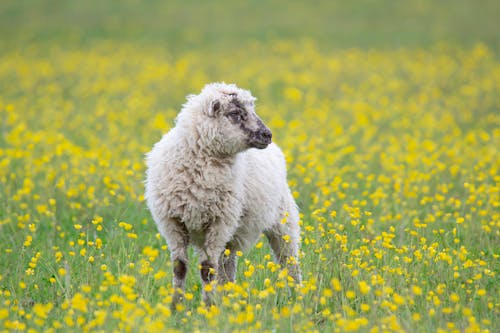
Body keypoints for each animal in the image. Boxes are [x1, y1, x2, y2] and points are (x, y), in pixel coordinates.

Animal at [145, 81, 300, 304]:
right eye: (235, 113)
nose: (267, 135)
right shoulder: (172, 222)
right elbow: (180, 268)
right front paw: (176, 306)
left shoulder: (219, 223)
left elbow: (207, 270)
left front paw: (207, 306)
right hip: (231, 237)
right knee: (228, 268)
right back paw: (227, 299)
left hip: (283, 222)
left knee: (289, 261)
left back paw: (297, 298)